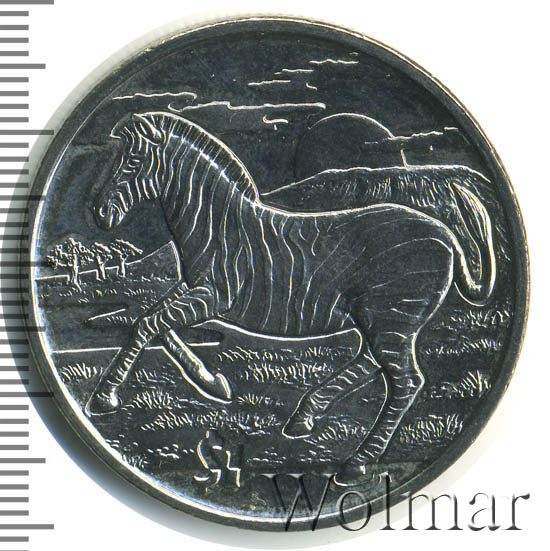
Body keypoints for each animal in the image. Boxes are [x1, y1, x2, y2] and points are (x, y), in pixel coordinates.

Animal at [85, 111, 496, 480]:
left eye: (132, 162)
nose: (99, 213)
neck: (215, 225)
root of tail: (446, 233)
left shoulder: (215, 295)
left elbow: (147, 324)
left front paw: (104, 398)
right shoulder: (193, 289)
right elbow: (156, 322)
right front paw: (212, 382)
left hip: (392, 316)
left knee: (405, 381)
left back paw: (356, 462)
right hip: (382, 318)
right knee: (373, 363)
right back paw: (305, 416)